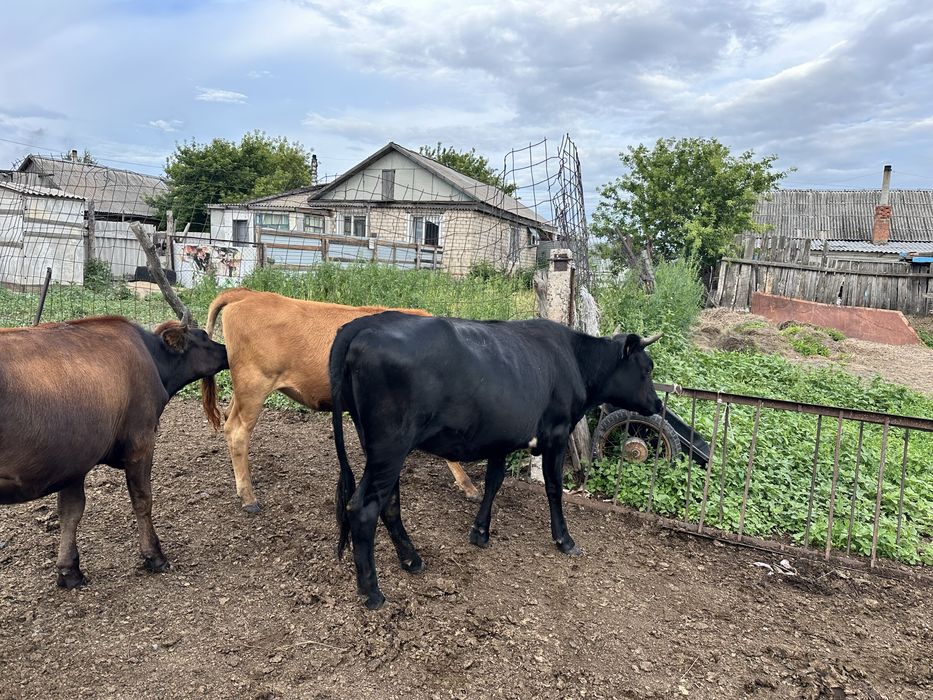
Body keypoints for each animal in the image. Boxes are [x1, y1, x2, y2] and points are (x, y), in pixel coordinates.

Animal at [0, 316, 229, 588]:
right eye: (203, 336)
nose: (228, 351)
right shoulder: (141, 442)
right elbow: (142, 500)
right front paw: (154, 555)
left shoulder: (75, 459)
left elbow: (70, 512)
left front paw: (69, 571)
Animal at [199, 288, 480, 513]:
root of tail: (247, 294)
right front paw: (468, 485)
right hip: (254, 385)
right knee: (237, 431)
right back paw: (248, 497)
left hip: (243, 390)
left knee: (228, 416)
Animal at [330, 312, 663, 609]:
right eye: (647, 368)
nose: (658, 403)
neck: (573, 361)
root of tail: (363, 325)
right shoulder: (556, 434)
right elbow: (554, 488)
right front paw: (564, 540)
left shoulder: (500, 437)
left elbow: (494, 481)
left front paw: (480, 532)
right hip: (390, 447)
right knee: (363, 508)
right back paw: (372, 592)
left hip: (379, 449)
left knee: (389, 502)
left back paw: (411, 559)